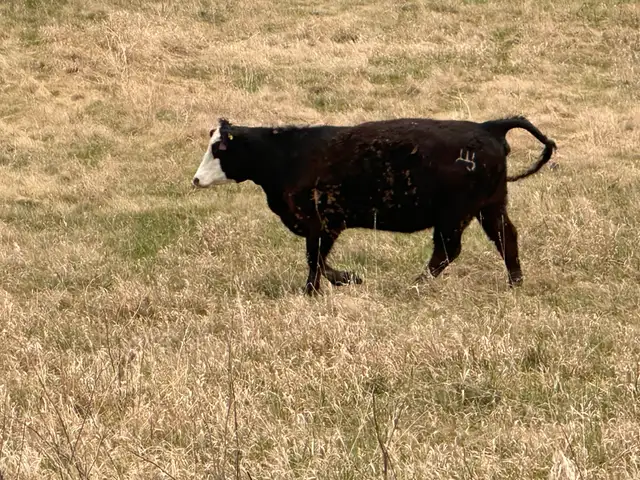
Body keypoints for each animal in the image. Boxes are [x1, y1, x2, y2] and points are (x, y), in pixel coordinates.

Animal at [192, 116, 556, 294]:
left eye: (219, 149)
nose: (195, 180)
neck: (289, 155)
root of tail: (489, 127)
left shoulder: (323, 223)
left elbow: (315, 261)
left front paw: (321, 287)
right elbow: (318, 261)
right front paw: (342, 280)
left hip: (455, 216)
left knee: (447, 252)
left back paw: (415, 285)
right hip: (489, 206)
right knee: (506, 238)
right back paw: (515, 283)